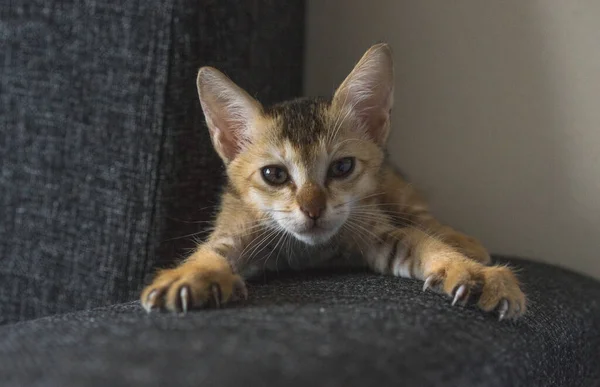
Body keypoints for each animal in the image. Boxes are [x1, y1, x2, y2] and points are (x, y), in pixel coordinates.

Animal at [141, 43, 524, 322]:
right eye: (274, 174)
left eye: (342, 167)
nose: (313, 210)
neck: (311, 253)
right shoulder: (237, 226)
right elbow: (212, 250)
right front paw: (191, 275)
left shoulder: (377, 232)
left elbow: (422, 241)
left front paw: (473, 272)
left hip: (392, 185)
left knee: (421, 216)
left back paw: (462, 241)